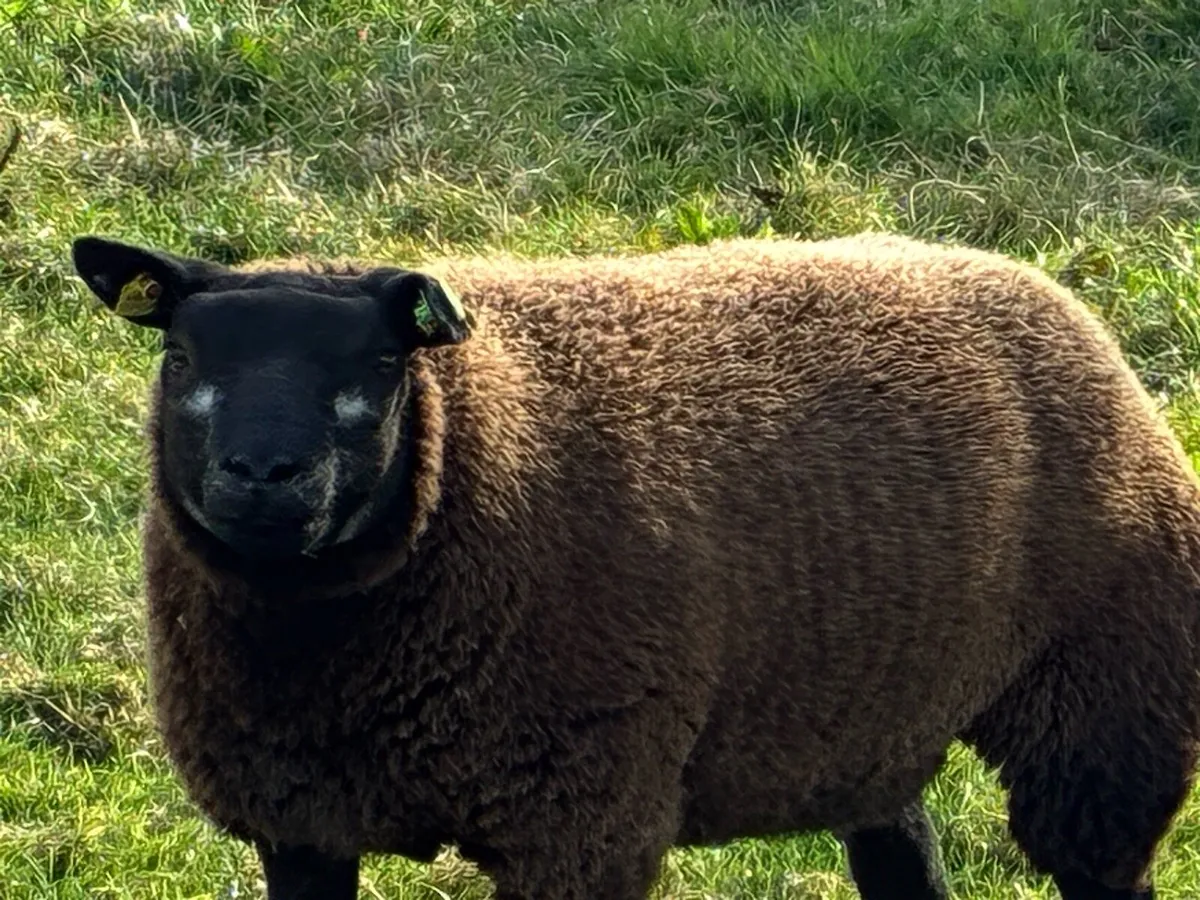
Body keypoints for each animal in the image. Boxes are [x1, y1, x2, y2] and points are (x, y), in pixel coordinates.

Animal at [71, 230, 1200, 900]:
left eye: (382, 364)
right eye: (181, 356)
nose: (266, 474)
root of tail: (1027, 281)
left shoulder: (580, 819)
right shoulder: (299, 818)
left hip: (1107, 701)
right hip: (868, 719)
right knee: (904, 854)